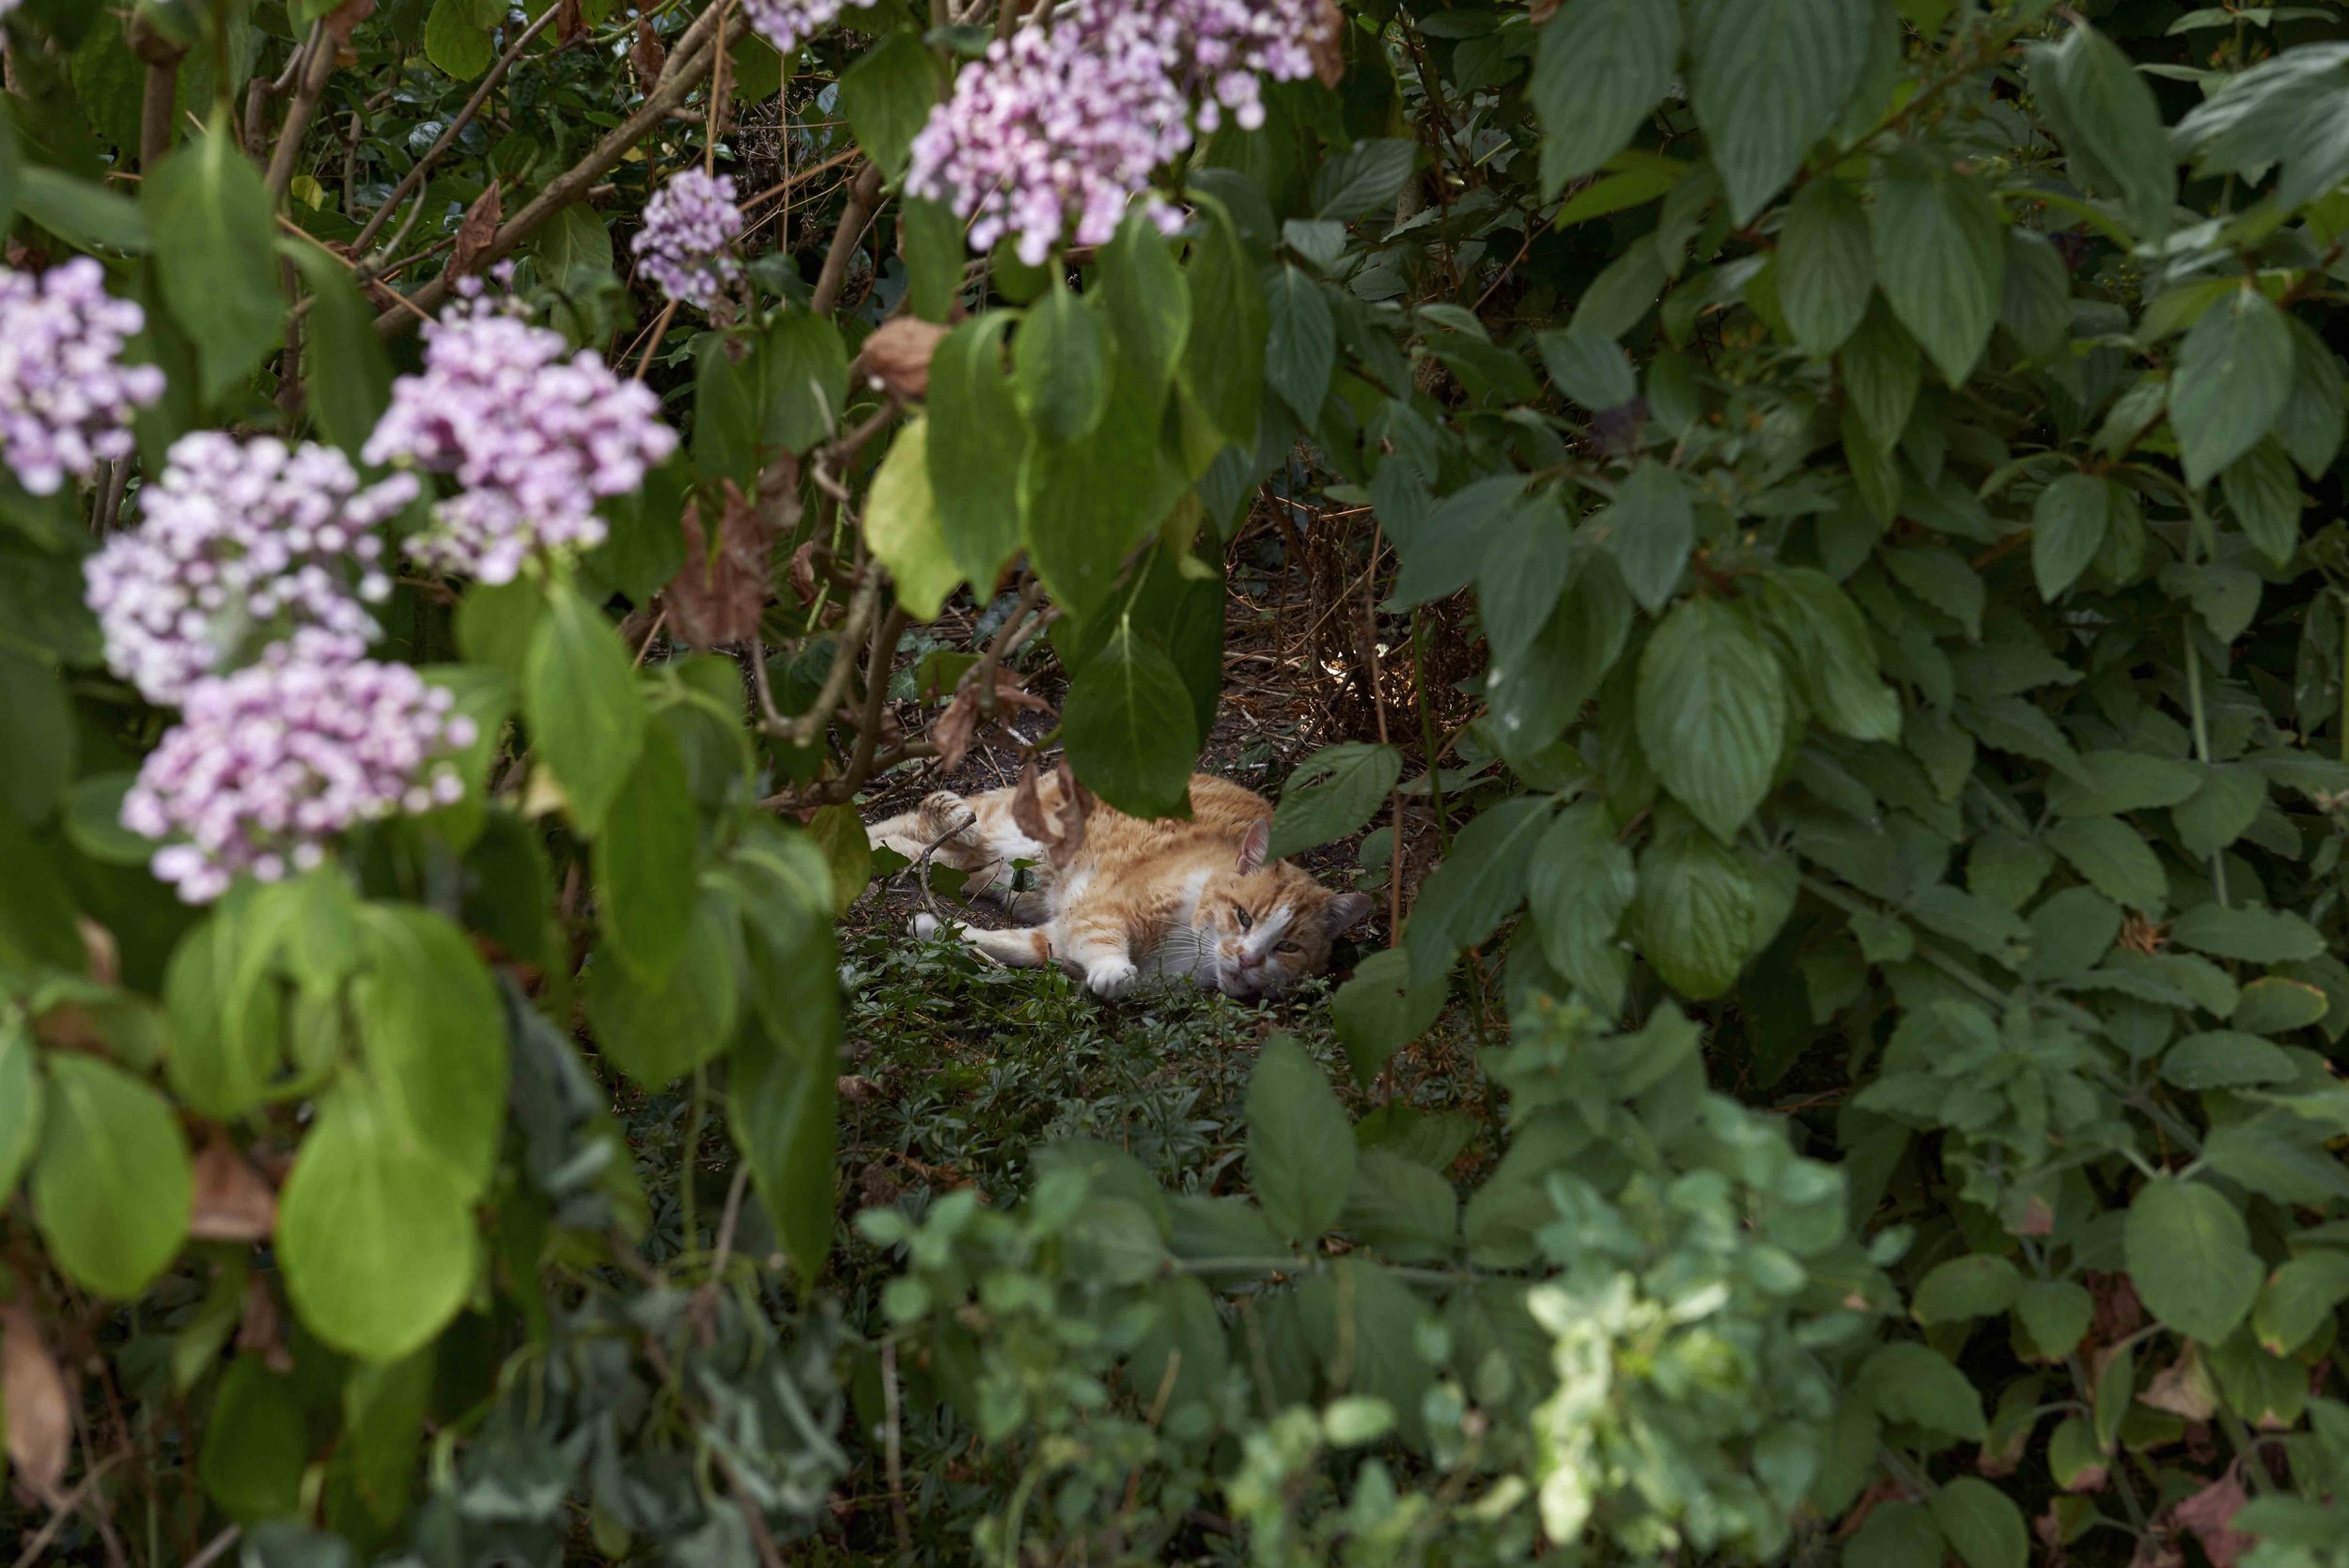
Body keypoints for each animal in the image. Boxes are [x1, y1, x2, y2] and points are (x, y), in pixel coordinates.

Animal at [869, 765, 1372, 1000]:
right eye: (1244, 917)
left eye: (1287, 947)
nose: (1247, 958)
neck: (1191, 953)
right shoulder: (1101, 909)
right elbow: (1102, 936)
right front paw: (1112, 969)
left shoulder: (1057, 935)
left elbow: (1012, 944)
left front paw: (934, 930)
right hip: (1012, 834)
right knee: (925, 818)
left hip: (1007, 871)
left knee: (937, 854)